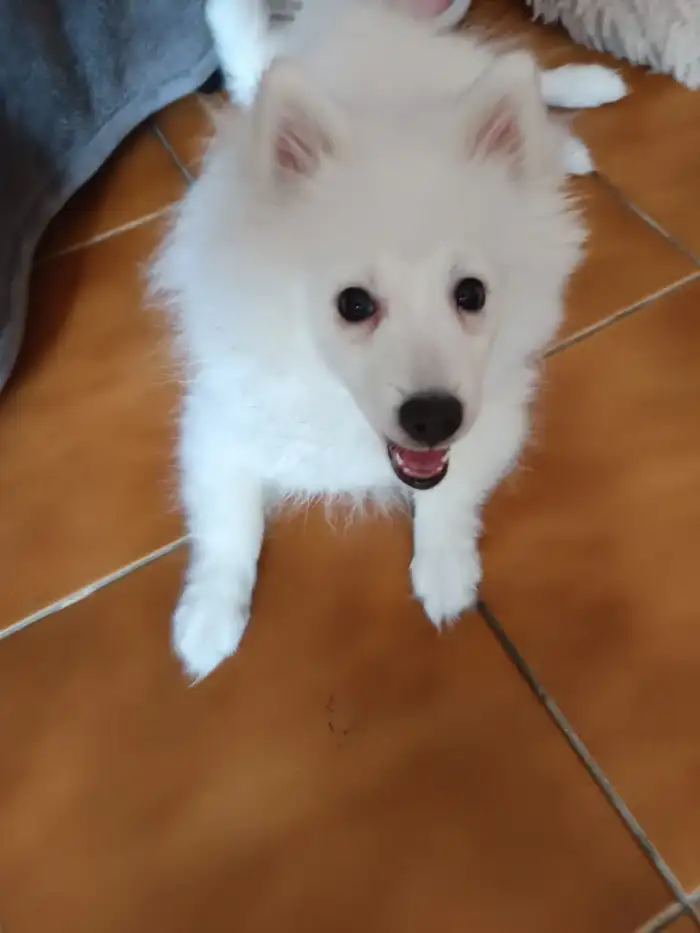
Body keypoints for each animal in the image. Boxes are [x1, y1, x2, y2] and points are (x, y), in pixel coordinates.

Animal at [154, 0, 626, 680]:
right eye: (353, 304)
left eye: (472, 294)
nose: (433, 418)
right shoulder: (219, 426)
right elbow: (227, 531)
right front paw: (209, 620)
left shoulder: (494, 412)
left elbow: (451, 496)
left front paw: (446, 571)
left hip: (465, 67)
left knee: (530, 74)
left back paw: (587, 94)